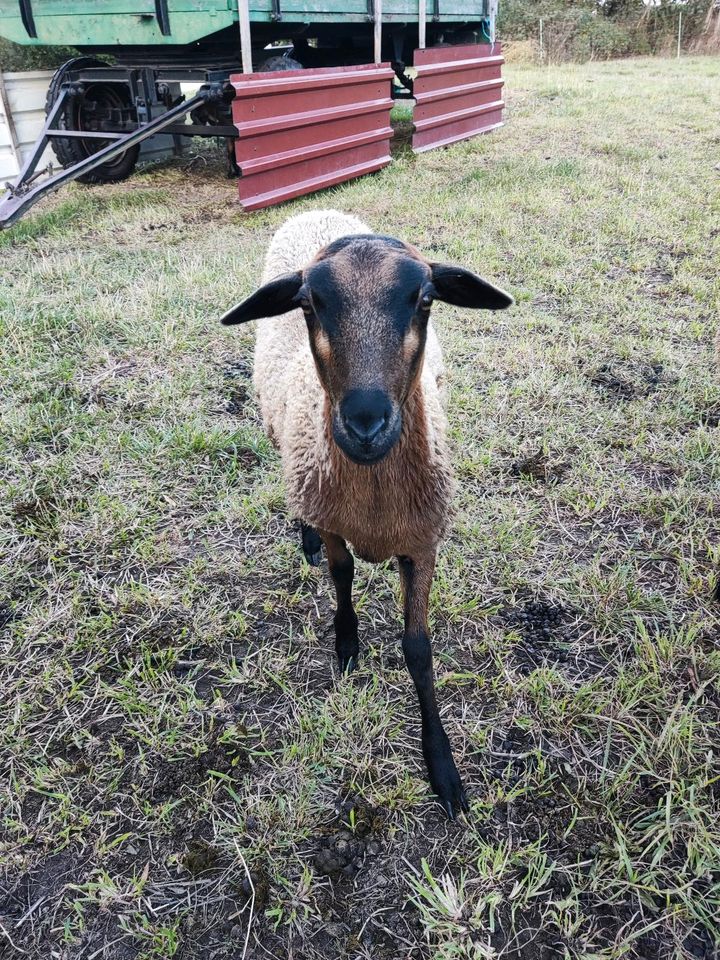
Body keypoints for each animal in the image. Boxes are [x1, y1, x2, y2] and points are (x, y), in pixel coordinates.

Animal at [221, 210, 512, 816]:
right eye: (308, 303)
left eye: (424, 298)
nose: (364, 424)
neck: (376, 502)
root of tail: (316, 212)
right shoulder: (335, 519)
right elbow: (342, 574)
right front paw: (347, 645)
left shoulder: (423, 542)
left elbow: (419, 651)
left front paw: (442, 767)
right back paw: (303, 537)